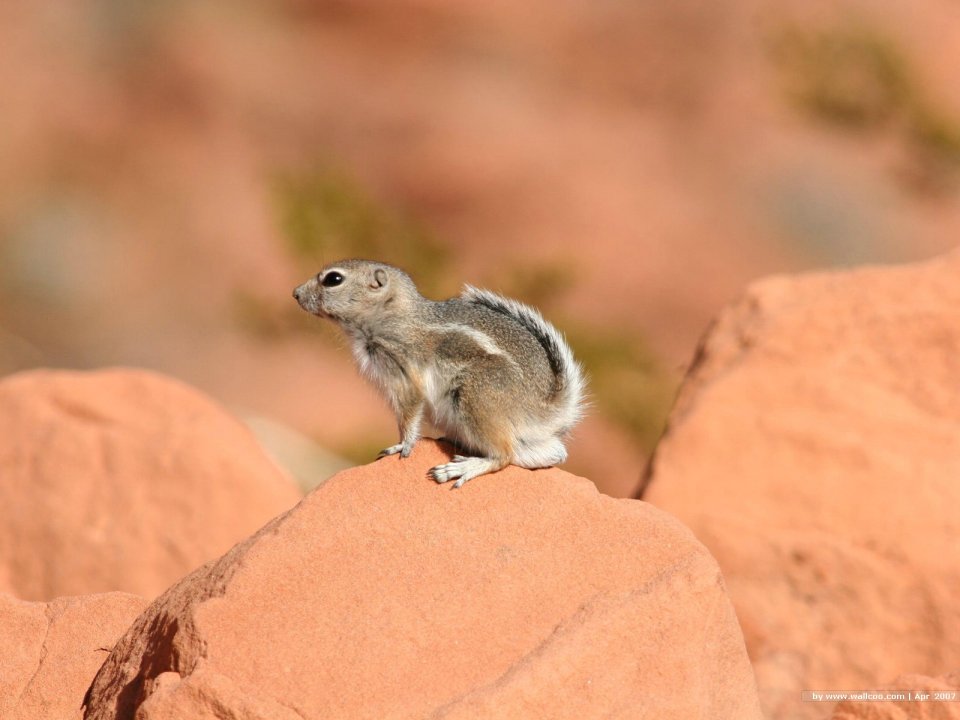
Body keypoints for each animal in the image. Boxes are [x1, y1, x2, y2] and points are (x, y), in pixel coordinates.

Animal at [293, 259, 586, 487]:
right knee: (550, 454)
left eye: (333, 279)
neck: (393, 315)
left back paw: (460, 468)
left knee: (504, 456)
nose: (295, 293)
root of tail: (545, 408)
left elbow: (409, 416)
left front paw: (402, 445)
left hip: (476, 395)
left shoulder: (404, 371)